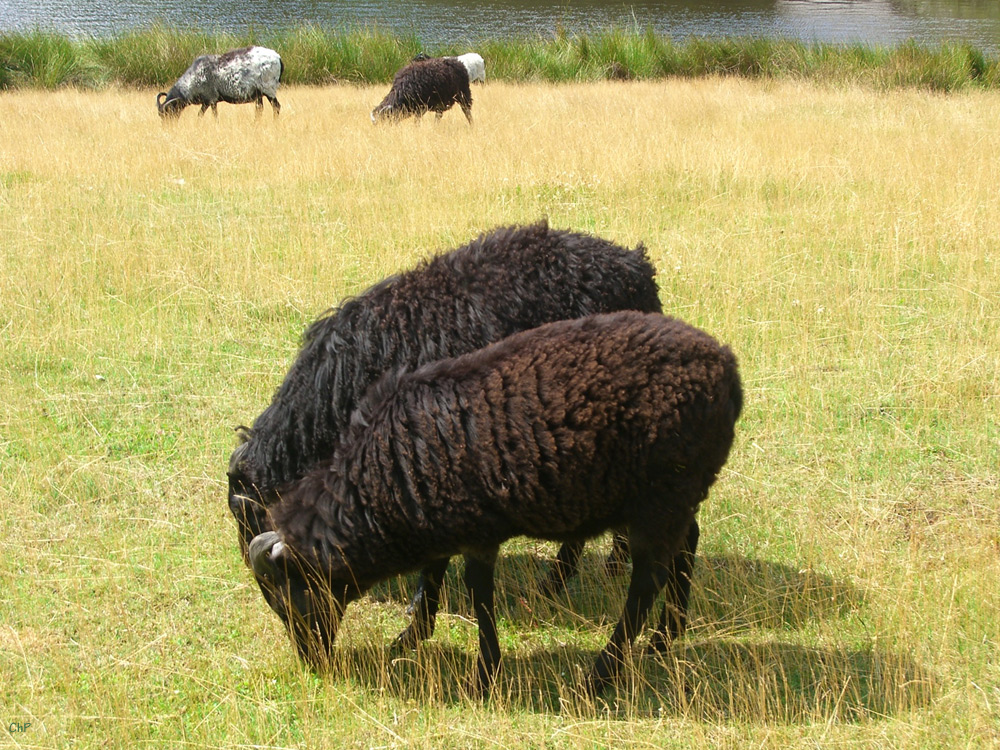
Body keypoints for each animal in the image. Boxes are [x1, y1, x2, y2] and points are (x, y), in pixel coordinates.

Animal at [156, 46, 284, 119]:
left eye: (168, 112)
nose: (167, 127)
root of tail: (278, 58)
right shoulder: (210, 101)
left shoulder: (210, 99)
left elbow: (205, 116)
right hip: (259, 93)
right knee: (259, 109)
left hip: (269, 89)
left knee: (276, 107)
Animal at [229, 219, 660, 652]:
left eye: (246, 515)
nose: (247, 562)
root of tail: (637, 265)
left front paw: (416, 623)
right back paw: (606, 565)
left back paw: (562, 579)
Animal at [245, 312, 740, 700]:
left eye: (288, 600)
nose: (313, 663)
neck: (381, 481)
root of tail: (726, 365)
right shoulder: (438, 516)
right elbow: (434, 573)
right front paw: (410, 637)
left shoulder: (476, 529)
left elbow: (478, 594)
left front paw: (485, 674)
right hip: (677, 495)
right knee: (687, 545)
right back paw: (664, 639)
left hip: (661, 496)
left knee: (646, 583)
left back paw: (600, 675)